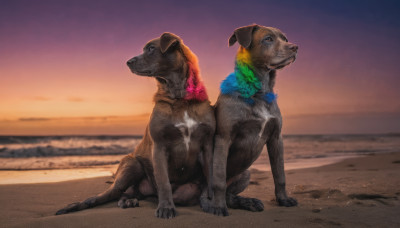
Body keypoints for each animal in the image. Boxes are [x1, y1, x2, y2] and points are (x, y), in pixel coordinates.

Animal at [56, 32, 216, 219]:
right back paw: (77, 205)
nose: (128, 61)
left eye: (151, 48)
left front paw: (214, 203)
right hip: (132, 165)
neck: (179, 97)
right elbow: (163, 182)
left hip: (187, 190)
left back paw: (129, 200)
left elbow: (210, 180)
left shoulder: (207, 146)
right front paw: (166, 207)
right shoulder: (160, 146)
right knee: (109, 193)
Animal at [202, 24, 298, 216]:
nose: (295, 47)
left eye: (284, 38)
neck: (258, 92)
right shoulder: (223, 139)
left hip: (246, 173)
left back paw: (249, 202)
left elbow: (280, 174)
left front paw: (283, 199)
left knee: (230, 195)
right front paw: (218, 207)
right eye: (268, 39)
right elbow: (219, 180)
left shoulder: (276, 138)